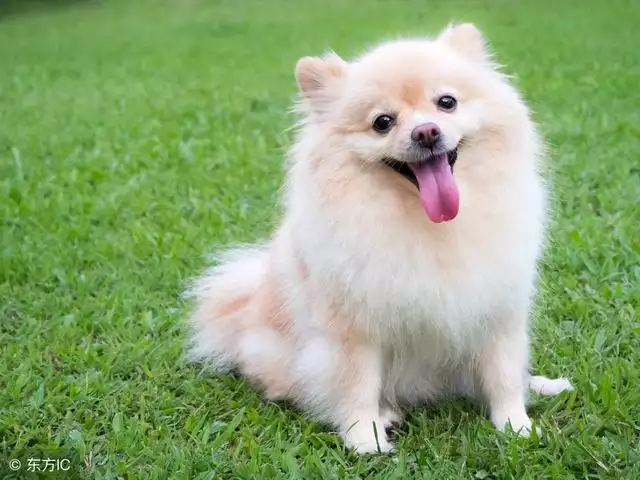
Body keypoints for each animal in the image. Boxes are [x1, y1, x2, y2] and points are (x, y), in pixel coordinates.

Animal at [188, 23, 572, 454]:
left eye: (447, 102)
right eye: (382, 122)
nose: (426, 131)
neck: (427, 222)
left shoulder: (498, 312)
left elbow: (503, 375)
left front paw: (516, 426)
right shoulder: (354, 330)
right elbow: (358, 385)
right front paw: (364, 438)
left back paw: (542, 385)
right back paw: (386, 413)